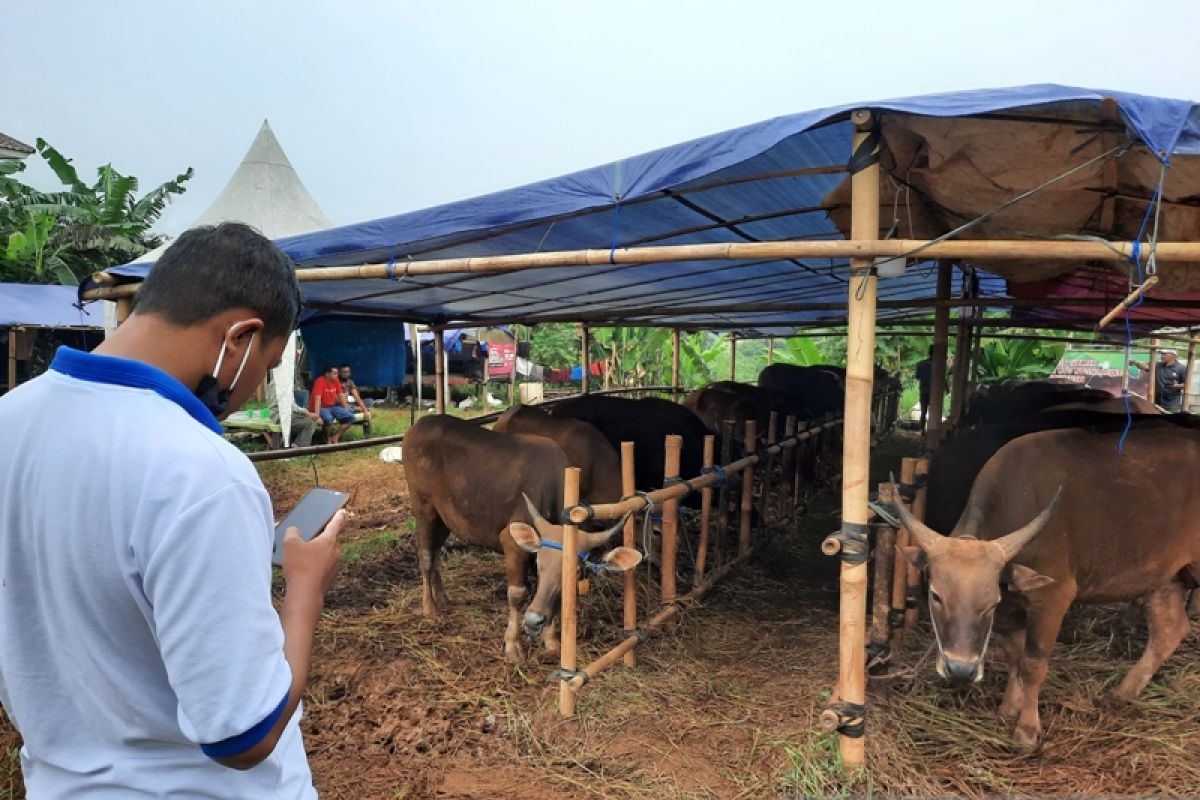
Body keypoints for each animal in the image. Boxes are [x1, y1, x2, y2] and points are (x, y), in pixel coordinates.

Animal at [400, 417, 638, 662]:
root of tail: (420, 424)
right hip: (424, 508)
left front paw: (550, 640)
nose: (534, 620)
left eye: (576, 571)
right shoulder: (512, 543)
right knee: (426, 556)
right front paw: (513, 644)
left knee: (436, 553)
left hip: (444, 517)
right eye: (540, 564)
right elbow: (517, 594)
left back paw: (442, 598)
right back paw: (430, 608)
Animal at [897, 422, 1200, 748]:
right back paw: (1120, 693)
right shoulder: (1012, 610)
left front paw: (1027, 728)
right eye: (936, 595)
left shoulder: (1050, 600)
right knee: (1169, 630)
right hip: (1167, 577)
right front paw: (1008, 709)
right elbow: (1014, 657)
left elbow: (1033, 663)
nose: (961, 670)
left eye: (990, 603)